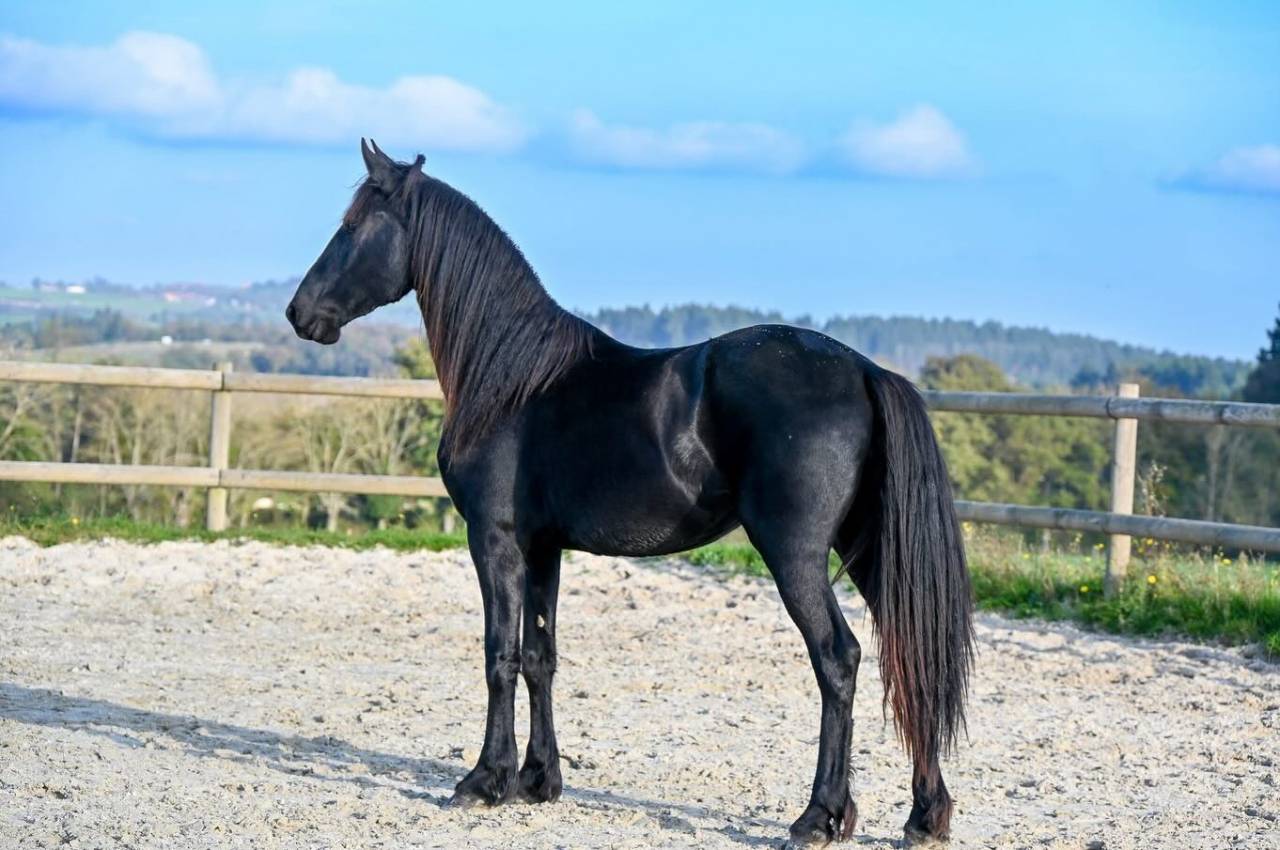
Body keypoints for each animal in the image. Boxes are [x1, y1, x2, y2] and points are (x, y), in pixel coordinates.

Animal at [286, 139, 974, 846]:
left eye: (352, 228)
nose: (300, 313)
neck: (513, 381)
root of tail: (863, 369)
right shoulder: (543, 549)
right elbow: (539, 656)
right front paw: (538, 782)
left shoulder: (495, 540)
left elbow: (499, 654)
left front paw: (483, 782)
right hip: (869, 549)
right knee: (912, 660)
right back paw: (924, 816)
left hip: (796, 553)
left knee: (839, 659)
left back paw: (819, 816)